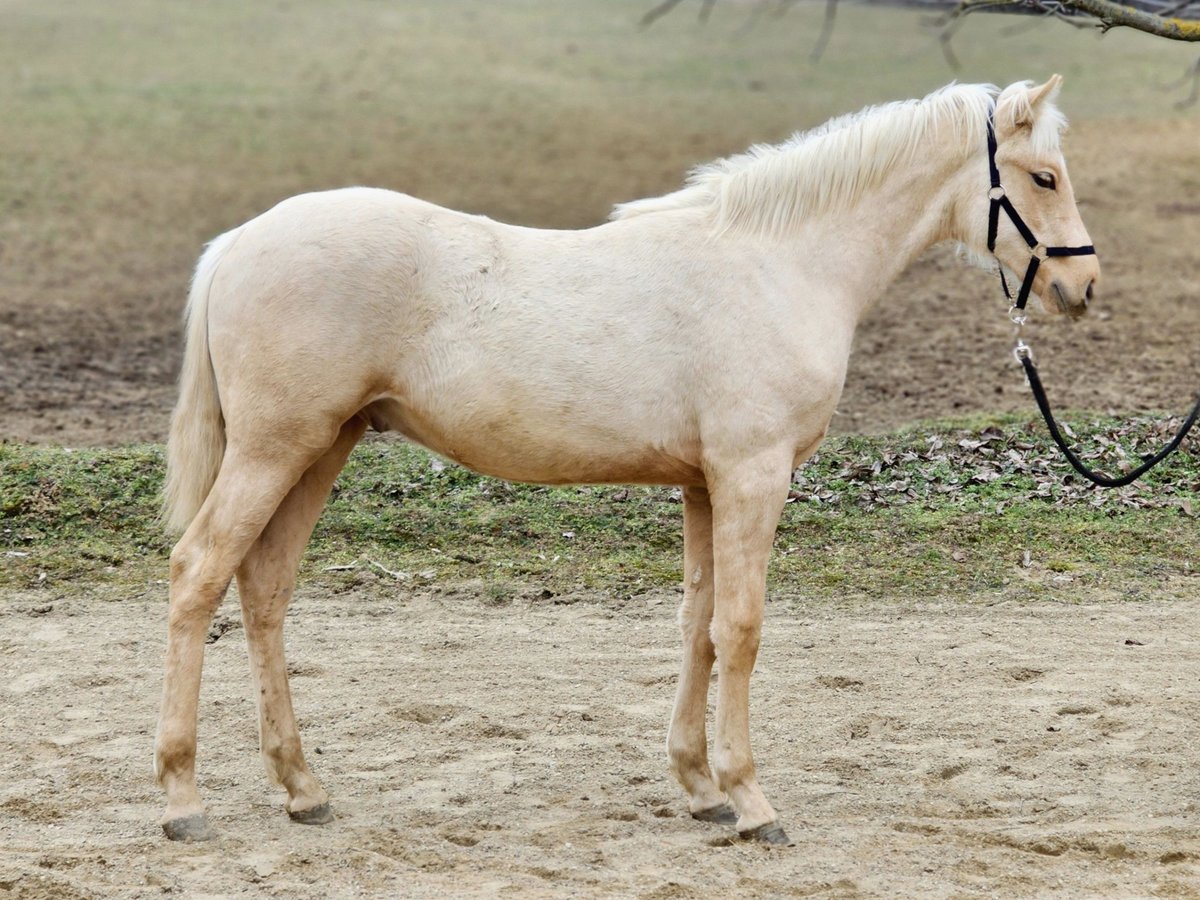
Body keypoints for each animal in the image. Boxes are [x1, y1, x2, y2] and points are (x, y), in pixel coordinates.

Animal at [154, 75, 1099, 844]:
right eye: (1043, 177)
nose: (1082, 289)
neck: (782, 265)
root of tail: (239, 241)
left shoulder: (705, 486)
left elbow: (698, 625)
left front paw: (701, 789)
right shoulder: (754, 476)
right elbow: (741, 629)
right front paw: (752, 802)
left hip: (321, 449)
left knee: (264, 588)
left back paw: (303, 789)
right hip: (276, 450)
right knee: (199, 573)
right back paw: (183, 800)